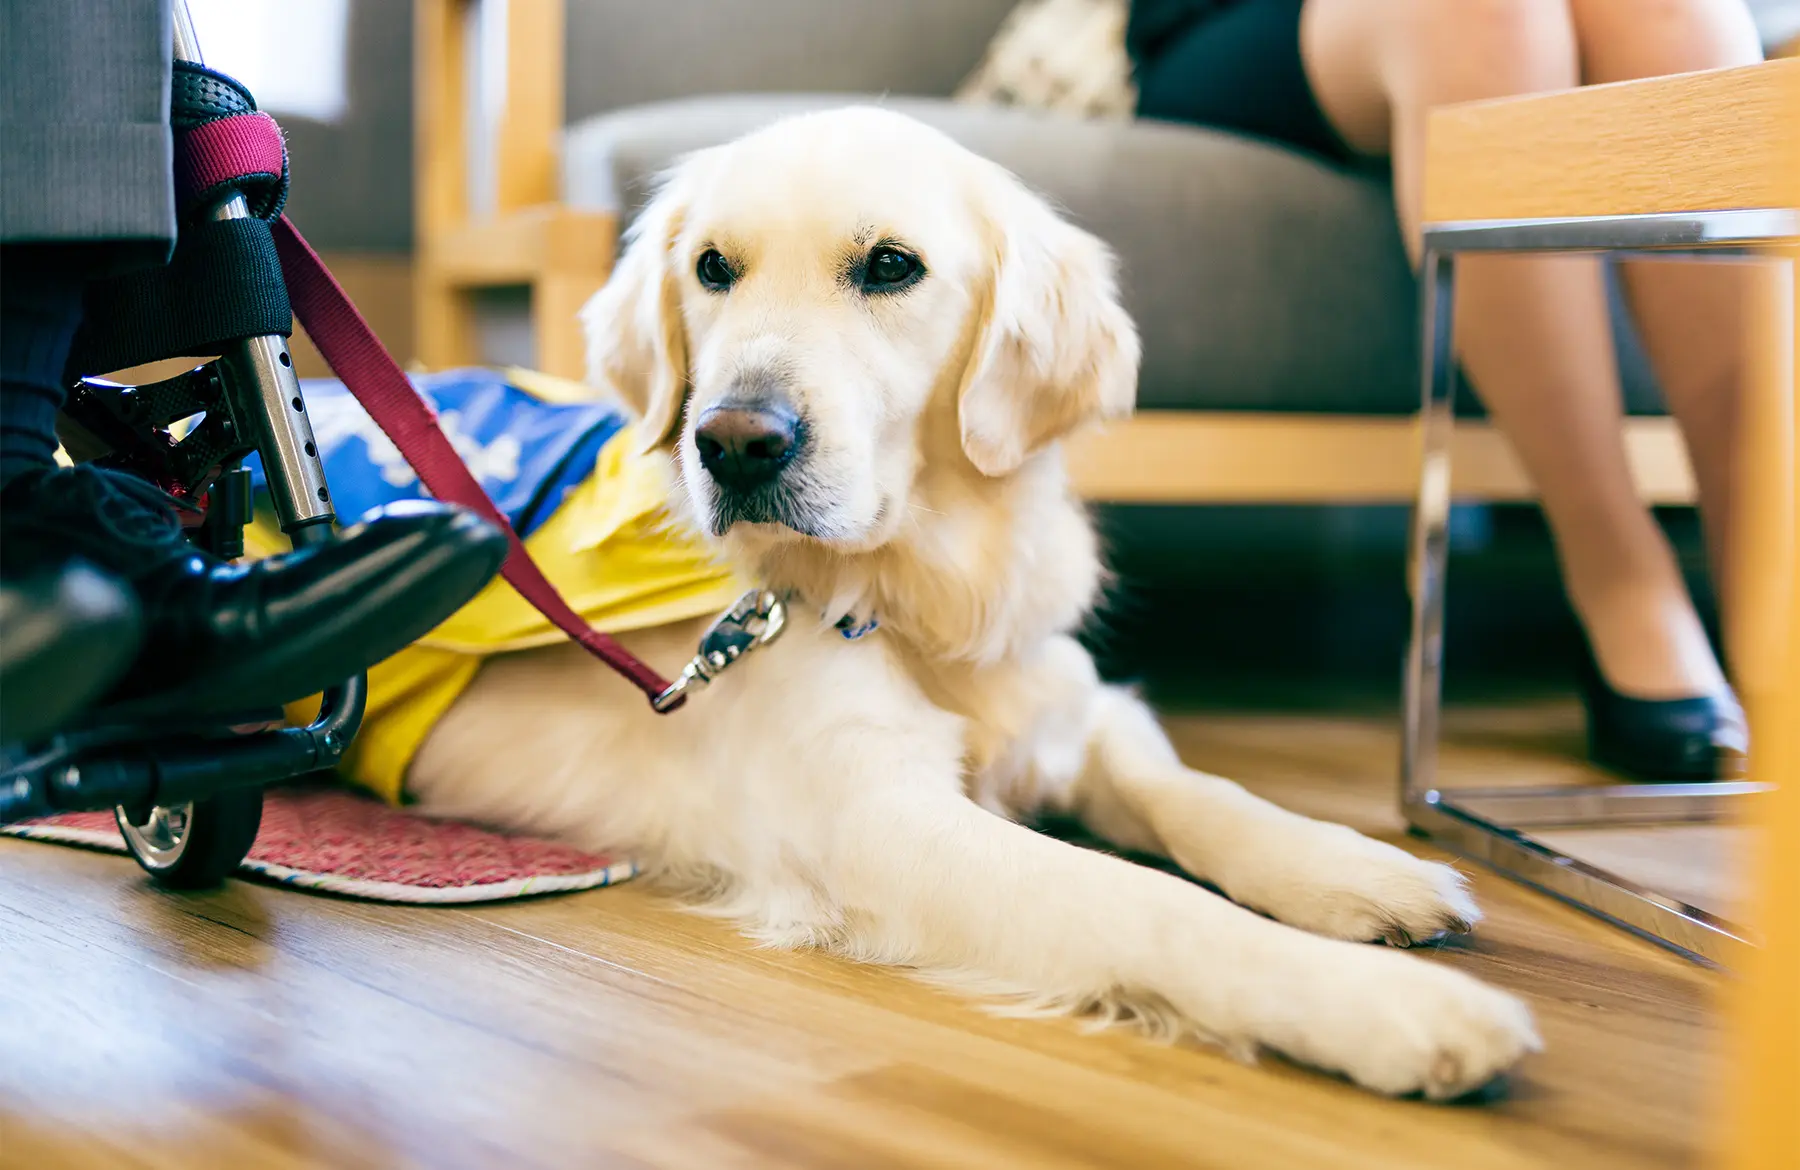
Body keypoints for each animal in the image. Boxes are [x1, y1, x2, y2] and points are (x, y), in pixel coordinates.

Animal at [405, 107, 1533, 1094]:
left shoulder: (1074, 706)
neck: (922, 598)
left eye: (890, 266)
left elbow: (1202, 795)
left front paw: (1358, 868)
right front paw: (1387, 1004)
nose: (732, 442)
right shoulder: (872, 823)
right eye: (712, 268)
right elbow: (1146, 902)